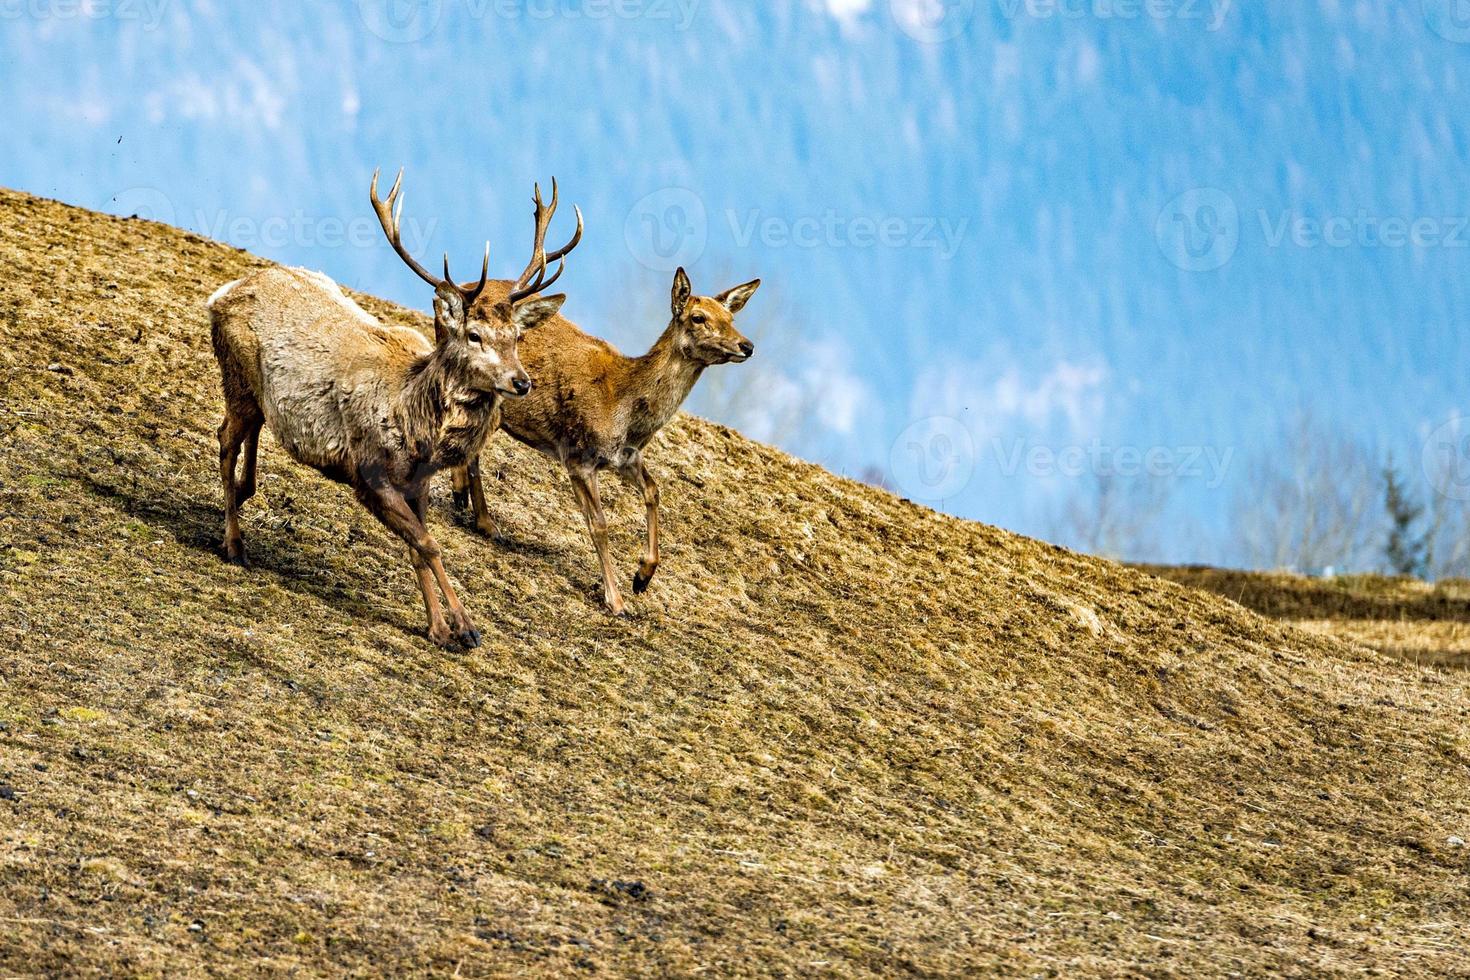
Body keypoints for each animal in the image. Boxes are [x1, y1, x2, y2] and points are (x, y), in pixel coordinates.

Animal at [210, 170, 576, 643]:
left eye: (516, 337)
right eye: (474, 335)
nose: (522, 381)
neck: (417, 430)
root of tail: (222, 293)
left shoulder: (416, 485)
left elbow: (417, 546)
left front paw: (437, 626)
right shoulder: (368, 473)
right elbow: (428, 543)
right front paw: (465, 628)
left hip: (255, 395)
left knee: (250, 432)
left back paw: (245, 492)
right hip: (235, 375)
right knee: (225, 440)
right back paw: (234, 543)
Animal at [449, 264, 758, 617]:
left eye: (730, 317)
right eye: (698, 317)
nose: (746, 345)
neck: (625, 411)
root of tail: (460, 288)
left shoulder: (626, 456)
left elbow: (653, 491)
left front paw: (642, 576)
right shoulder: (578, 458)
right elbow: (599, 524)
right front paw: (617, 601)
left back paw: (466, 502)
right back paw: (484, 521)